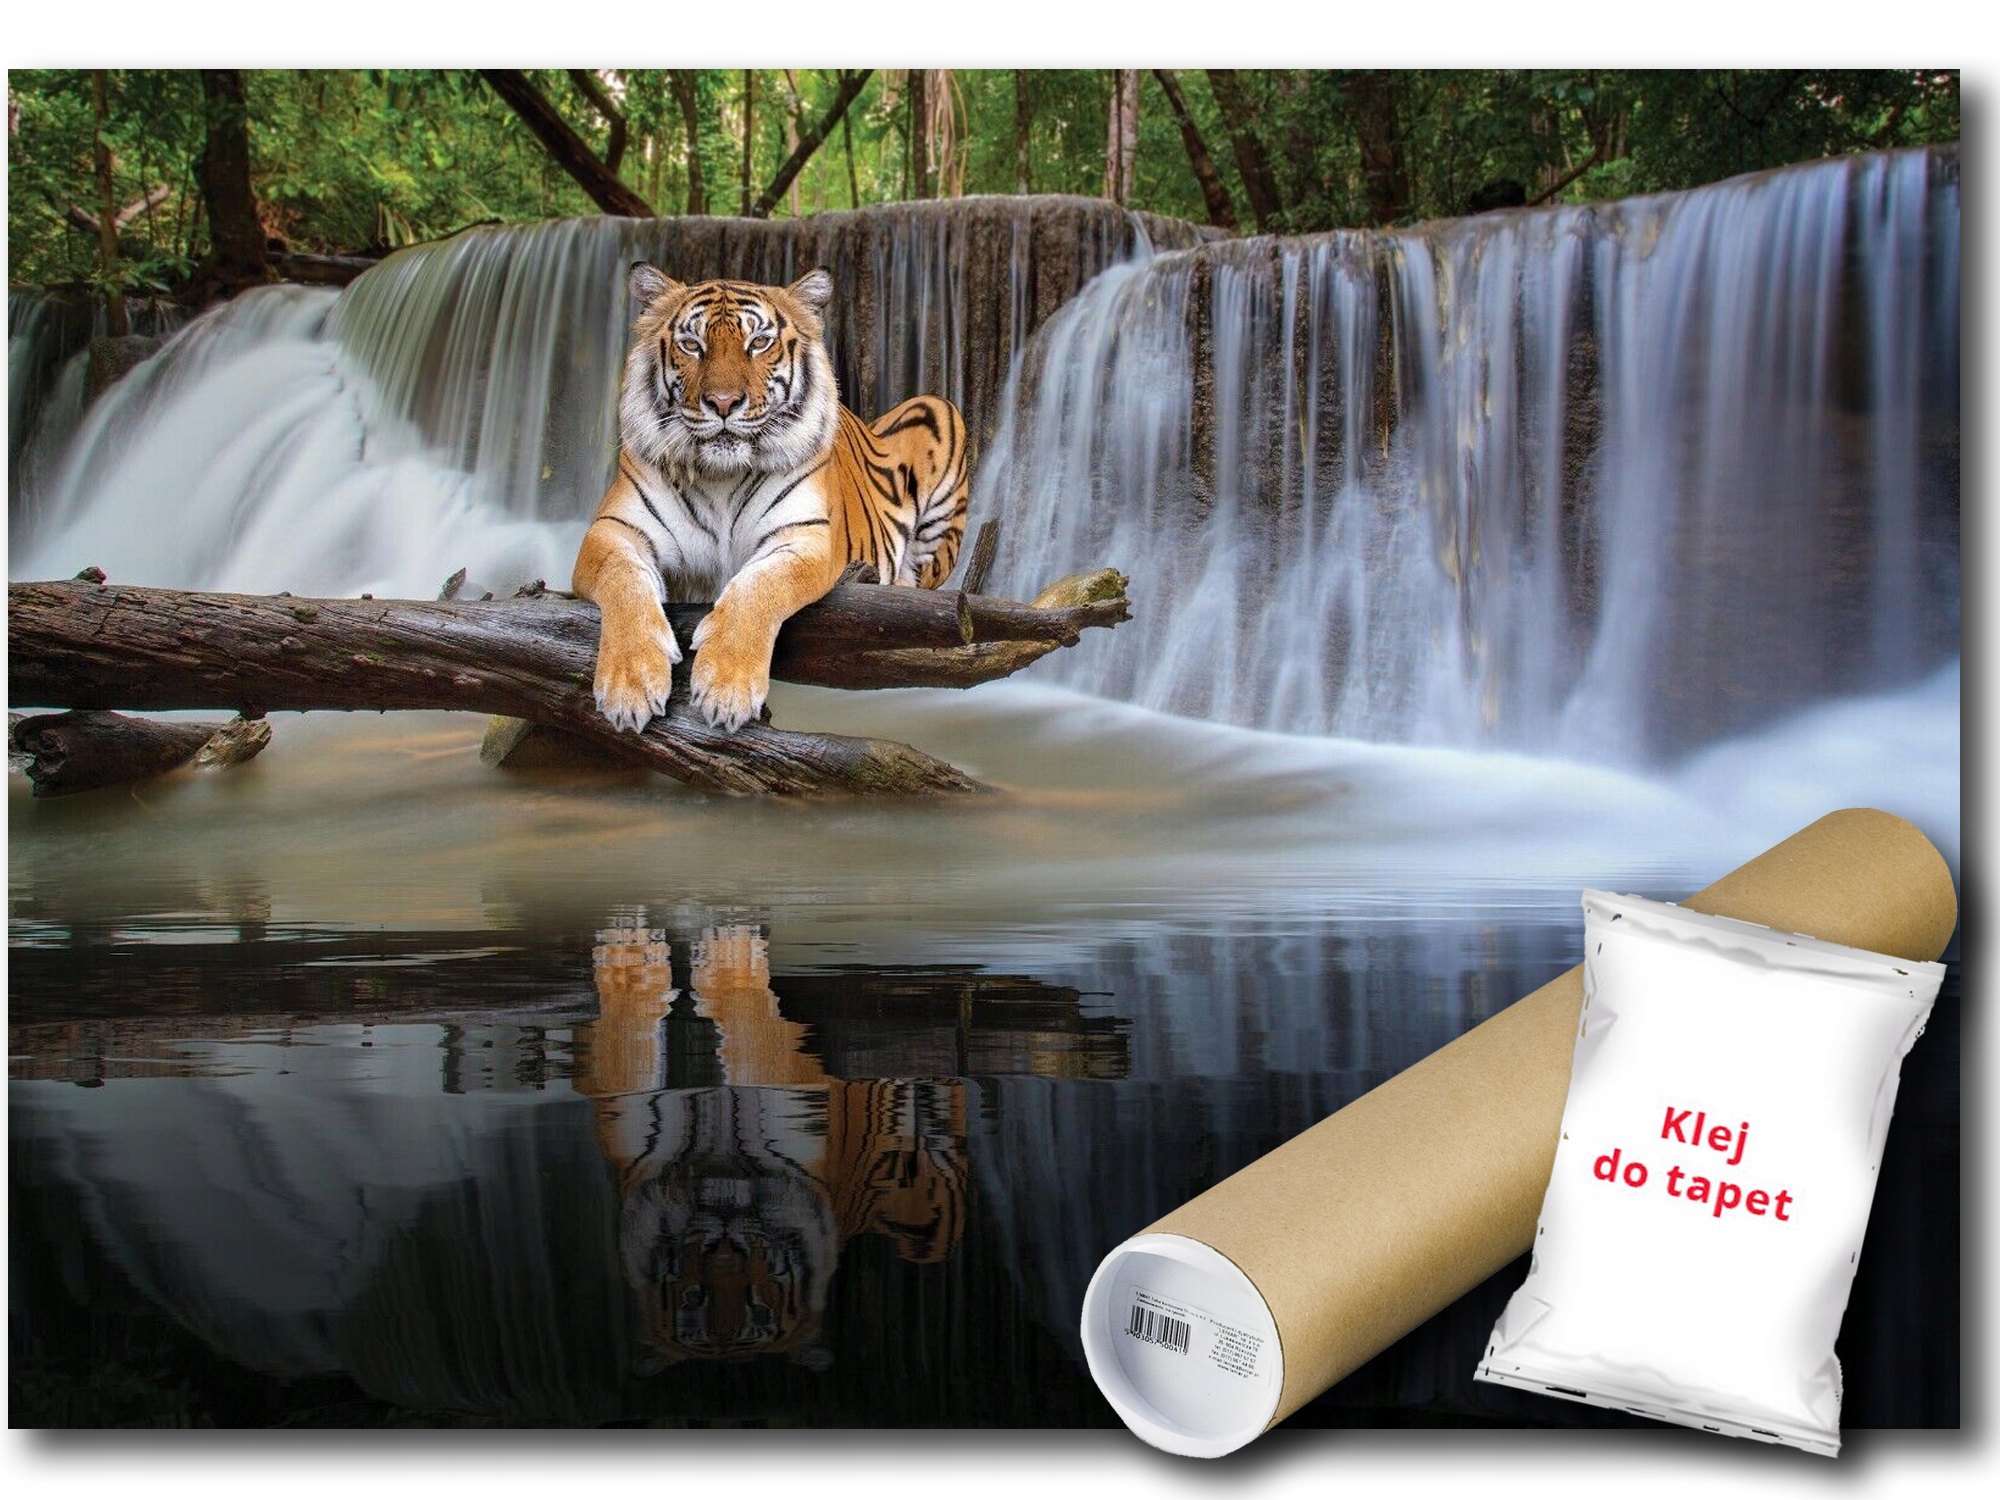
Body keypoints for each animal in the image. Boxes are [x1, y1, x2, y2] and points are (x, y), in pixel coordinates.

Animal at [574, 264, 970, 734]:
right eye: (692, 345)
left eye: (759, 342)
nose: (723, 403)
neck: (720, 477)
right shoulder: (614, 532)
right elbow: (623, 581)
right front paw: (630, 683)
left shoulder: (803, 538)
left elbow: (759, 585)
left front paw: (726, 685)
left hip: (938, 410)